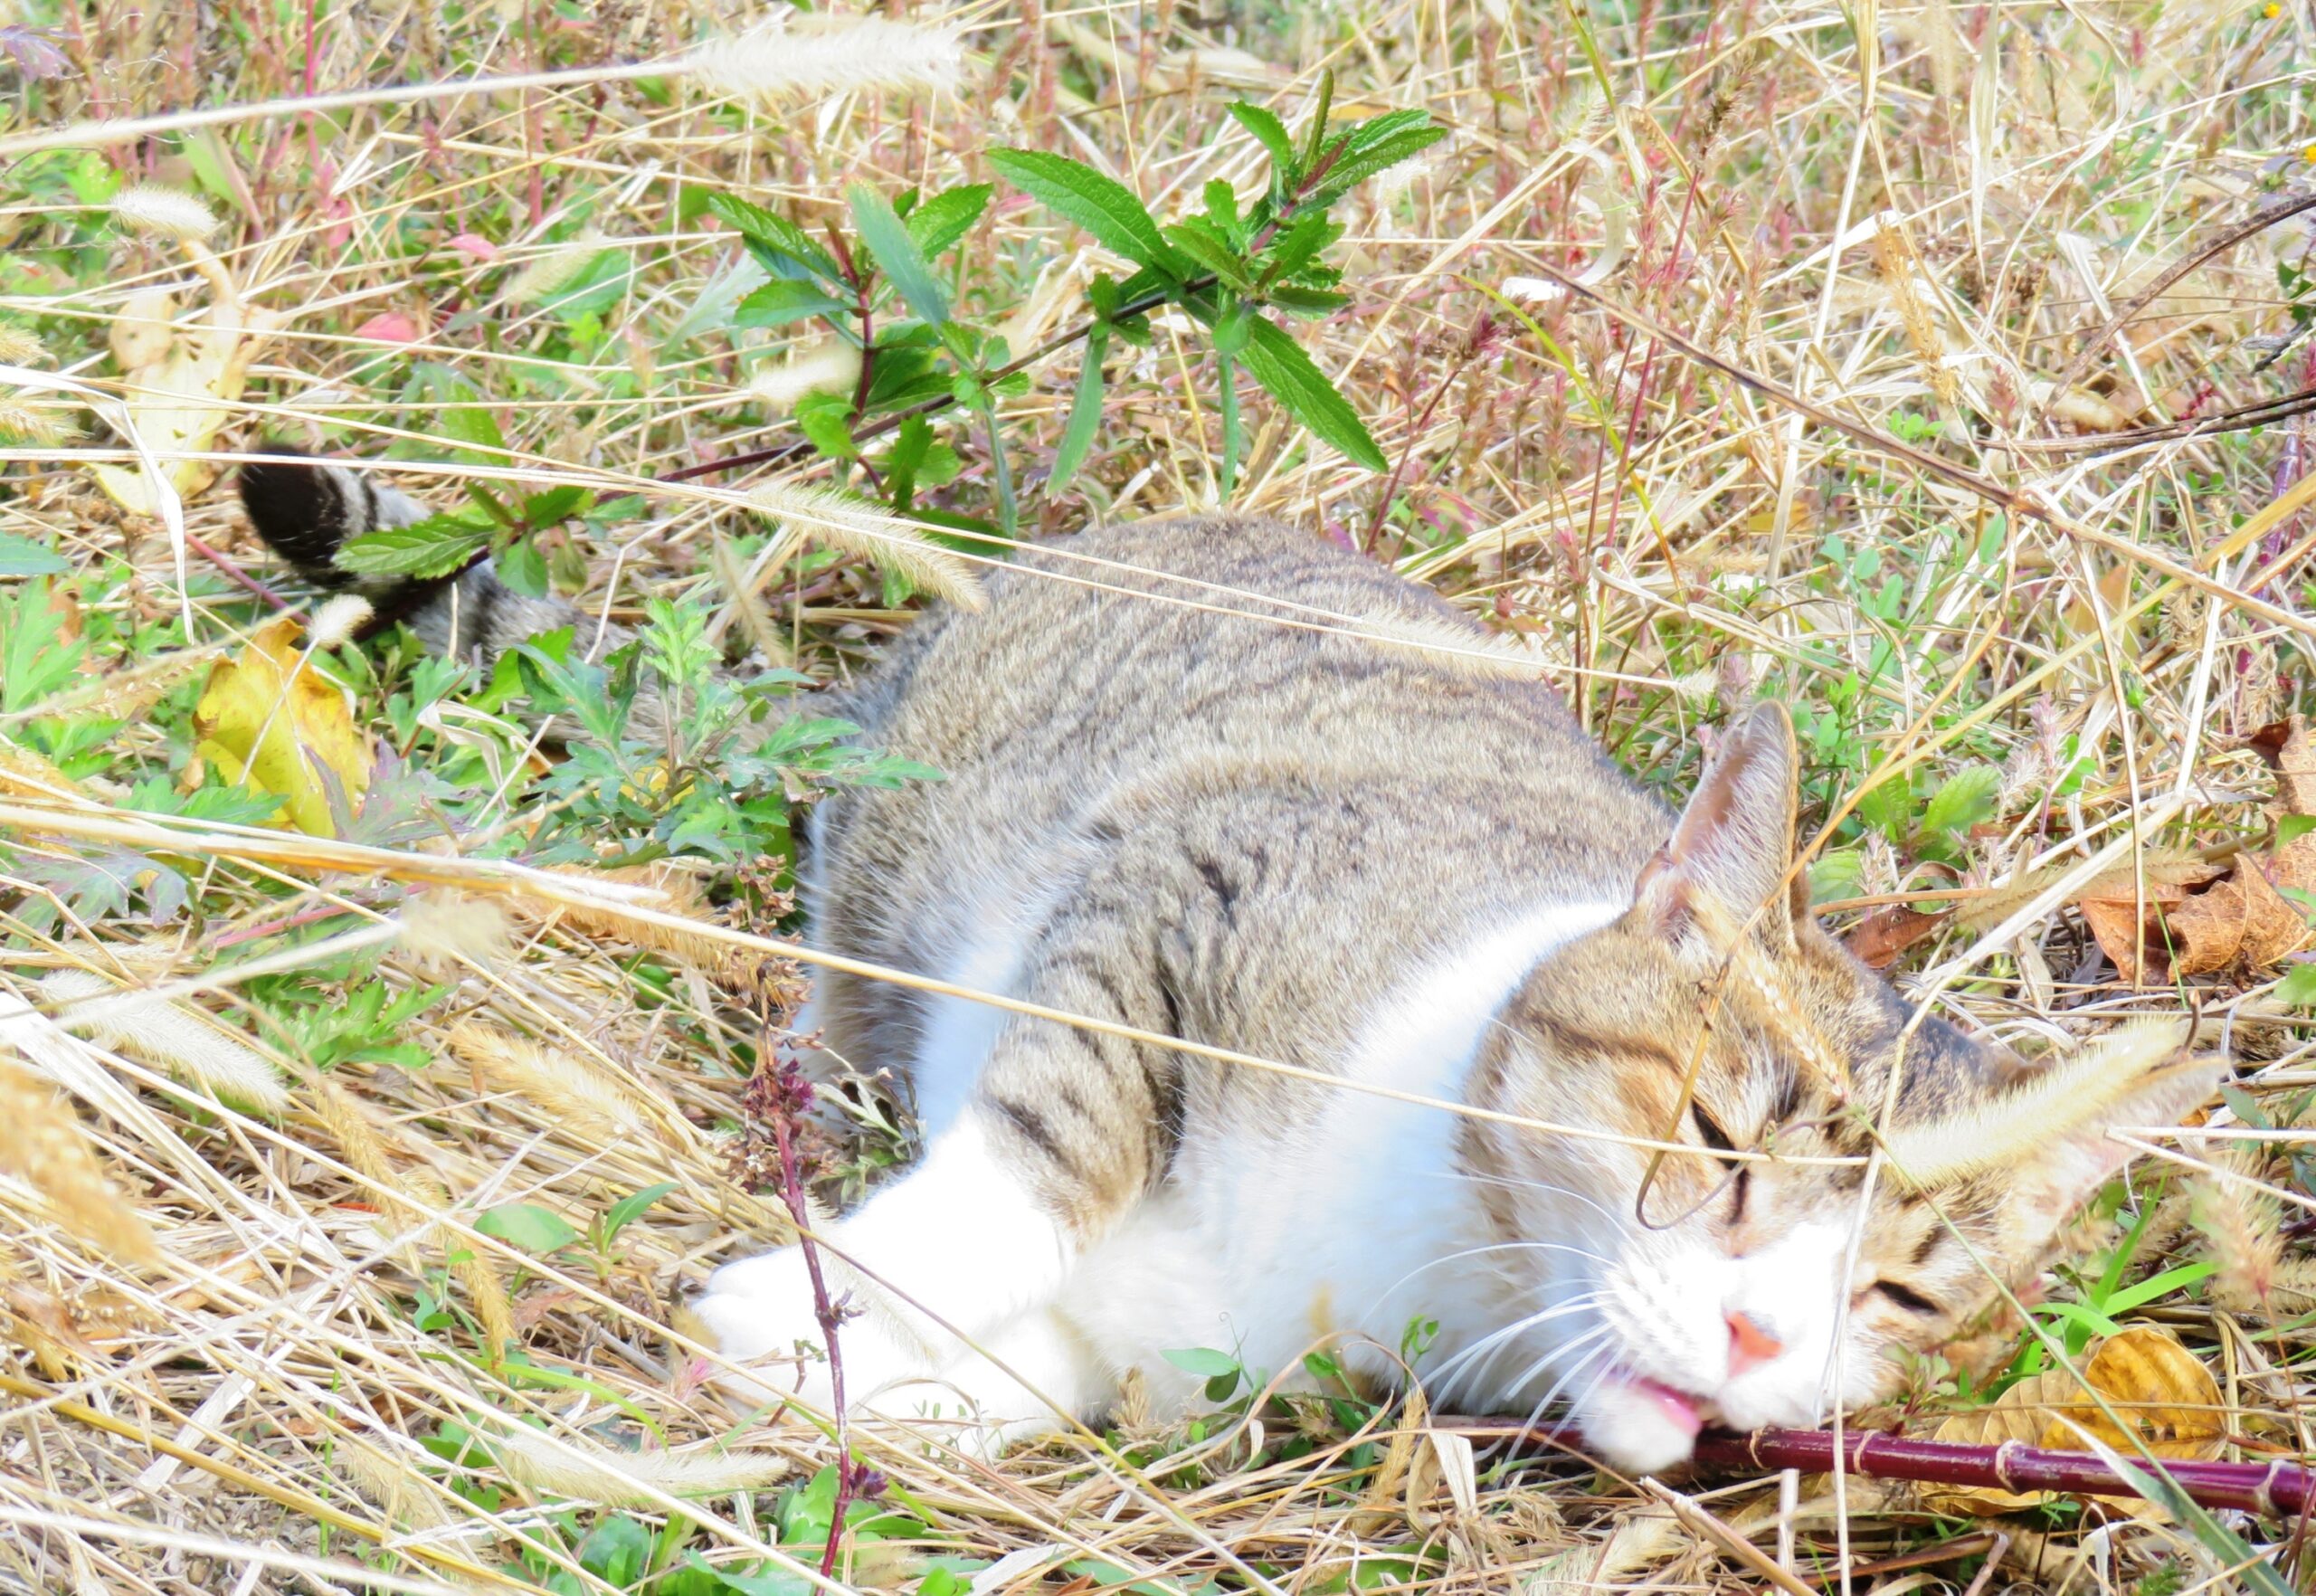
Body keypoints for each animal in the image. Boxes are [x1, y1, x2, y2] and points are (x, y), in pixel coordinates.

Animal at [239, 449, 2223, 1473]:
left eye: (1902, 1295)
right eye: (1719, 1145)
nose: (1754, 1334)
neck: (1437, 1252)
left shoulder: (1196, 1367)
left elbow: (1040, 1372)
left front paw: (843, 1369)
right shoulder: (1182, 880)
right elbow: (1044, 1153)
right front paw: (817, 1295)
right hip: (908, 837)